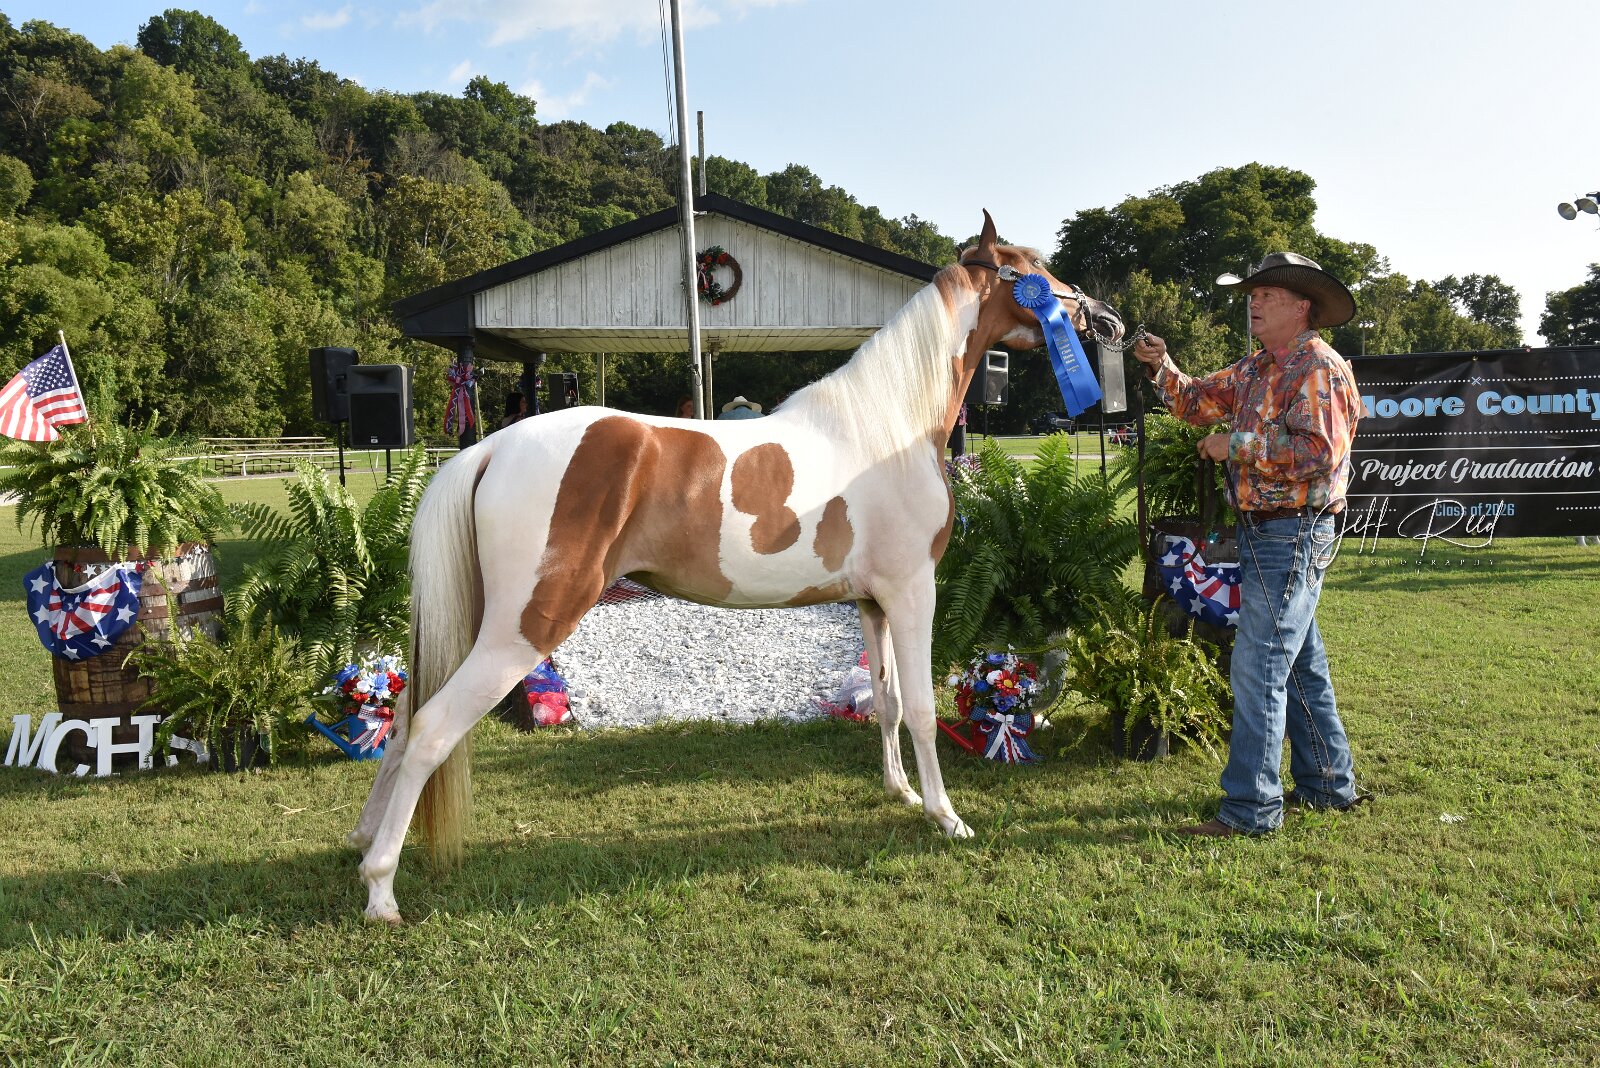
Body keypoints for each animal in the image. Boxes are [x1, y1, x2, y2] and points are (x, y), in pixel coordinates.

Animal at [349, 211, 1124, 923]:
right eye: (1031, 267)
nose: (1106, 318)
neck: (886, 429)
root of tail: (492, 448)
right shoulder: (913, 593)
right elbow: (927, 710)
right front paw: (945, 815)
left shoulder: (872, 602)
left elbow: (890, 703)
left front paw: (900, 792)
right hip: (524, 629)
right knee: (431, 729)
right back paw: (381, 890)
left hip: (482, 621)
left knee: (407, 718)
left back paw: (362, 842)